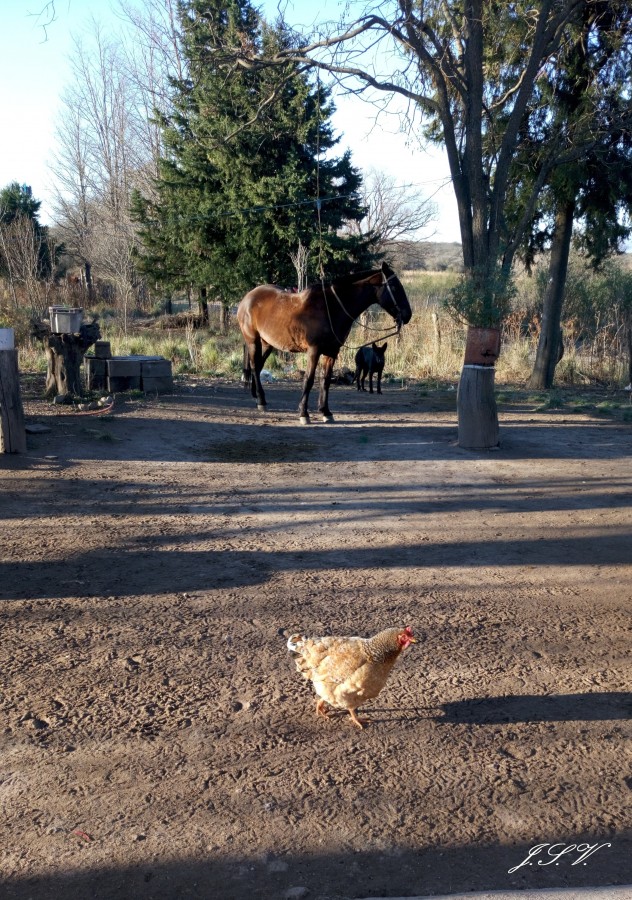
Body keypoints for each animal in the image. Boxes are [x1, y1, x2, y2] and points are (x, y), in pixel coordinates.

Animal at [236, 260, 410, 422]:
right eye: (394, 287)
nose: (408, 314)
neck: (331, 308)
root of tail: (247, 298)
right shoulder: (314, 351)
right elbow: (309, 379)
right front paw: (304, 414)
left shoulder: (332, 352)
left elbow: (325, 380)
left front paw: (326, 412)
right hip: (253, 341)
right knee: (254, 366)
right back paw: (261, 401)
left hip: (267, 344)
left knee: (258, 366)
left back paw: (259, 398)